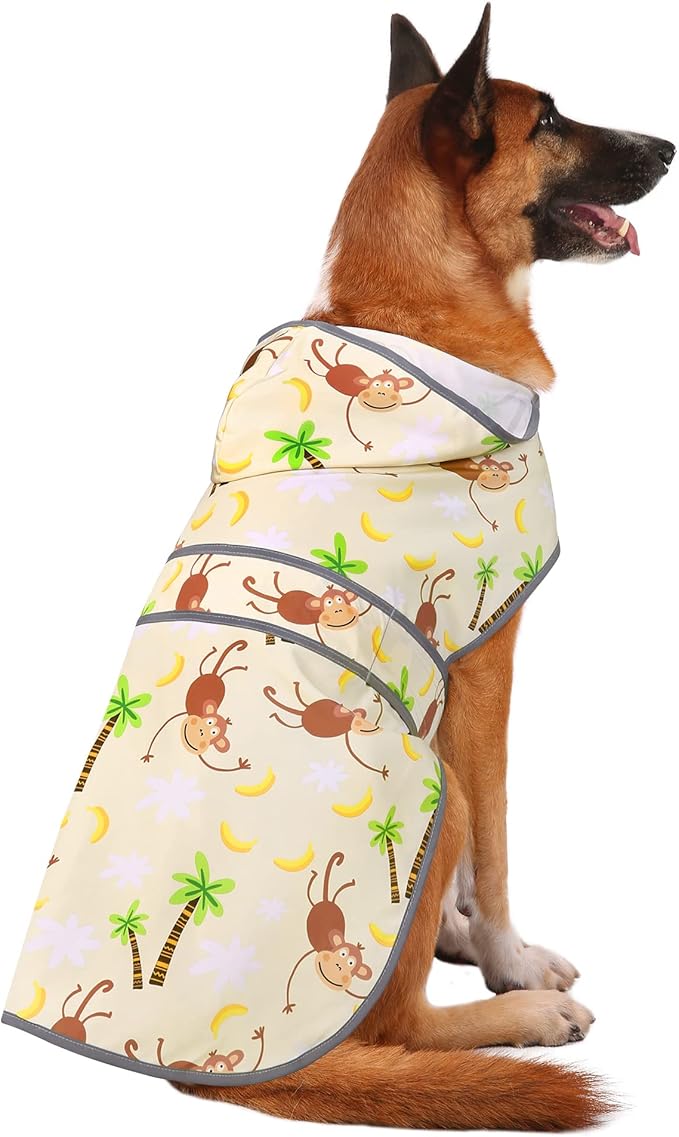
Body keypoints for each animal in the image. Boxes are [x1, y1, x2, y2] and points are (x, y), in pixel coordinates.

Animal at [141, 642, 250, 772]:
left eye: (214, 732)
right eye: (209, 722)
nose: (201, 731)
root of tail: (215, 676)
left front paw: (242, 765)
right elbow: (160, 730)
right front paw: (147, 756)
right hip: (203, 675)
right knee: (205, 666)